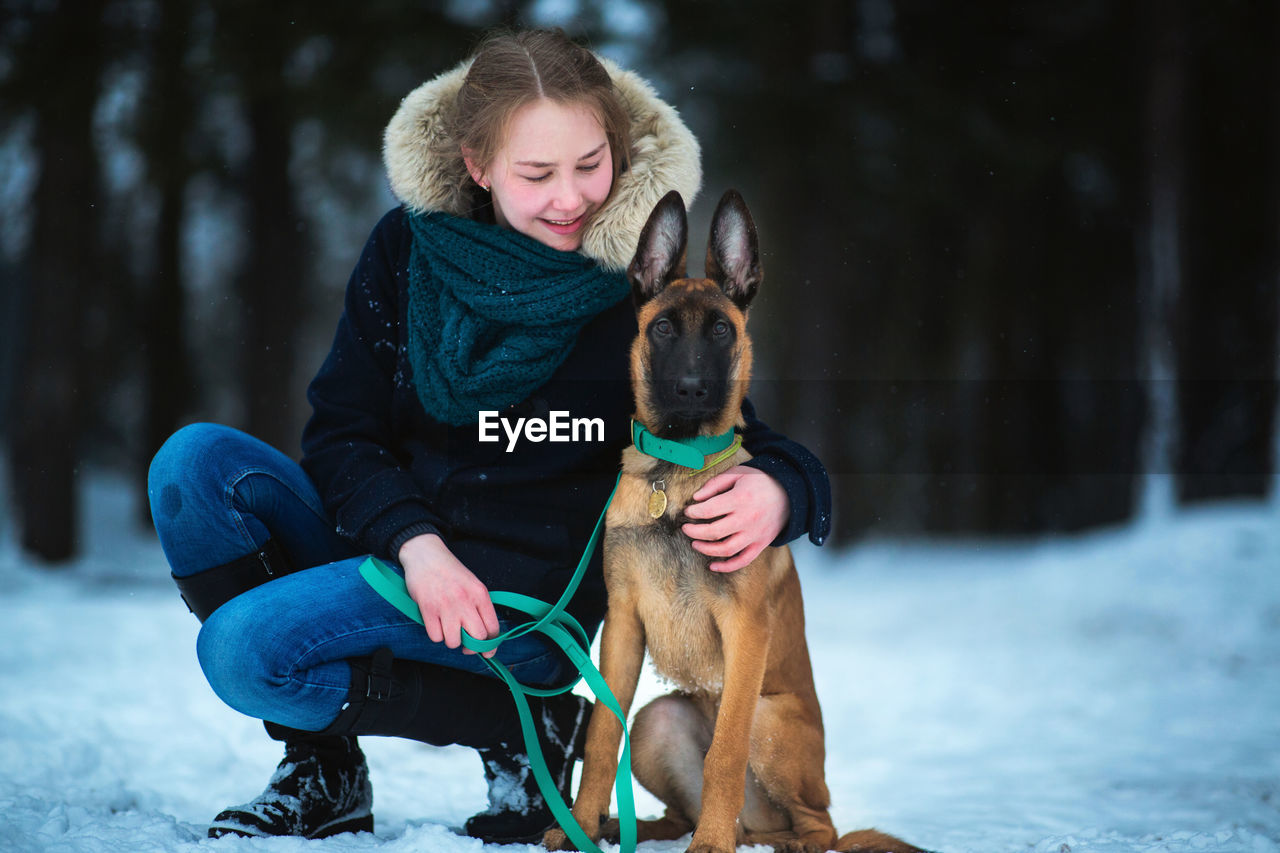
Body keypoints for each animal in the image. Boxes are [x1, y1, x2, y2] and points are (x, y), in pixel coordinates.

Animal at [542, 188, 931, 850]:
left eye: (722, 330)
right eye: (663, 328)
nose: (691, 389)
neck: (675, 470)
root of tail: (759, 826)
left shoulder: (746, 630)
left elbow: (724, 752)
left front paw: (710, 847)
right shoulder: (621, 627)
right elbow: (599, 739)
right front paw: (577, 828)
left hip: (772, 721)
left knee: (821, 825)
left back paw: (766, 839)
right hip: (658, 719)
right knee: (679, 799)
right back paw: (643, 828)